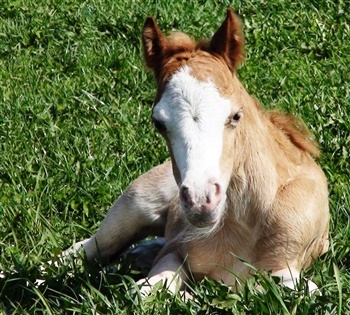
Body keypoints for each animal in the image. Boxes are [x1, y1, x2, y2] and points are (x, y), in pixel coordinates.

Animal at [69, 9, 330, 296]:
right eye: (158, 123)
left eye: (235, 115)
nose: (200, 199)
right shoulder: (175, 251)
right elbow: (146, 291)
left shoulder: (287, 267)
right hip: (135, 205)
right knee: (84, 249)